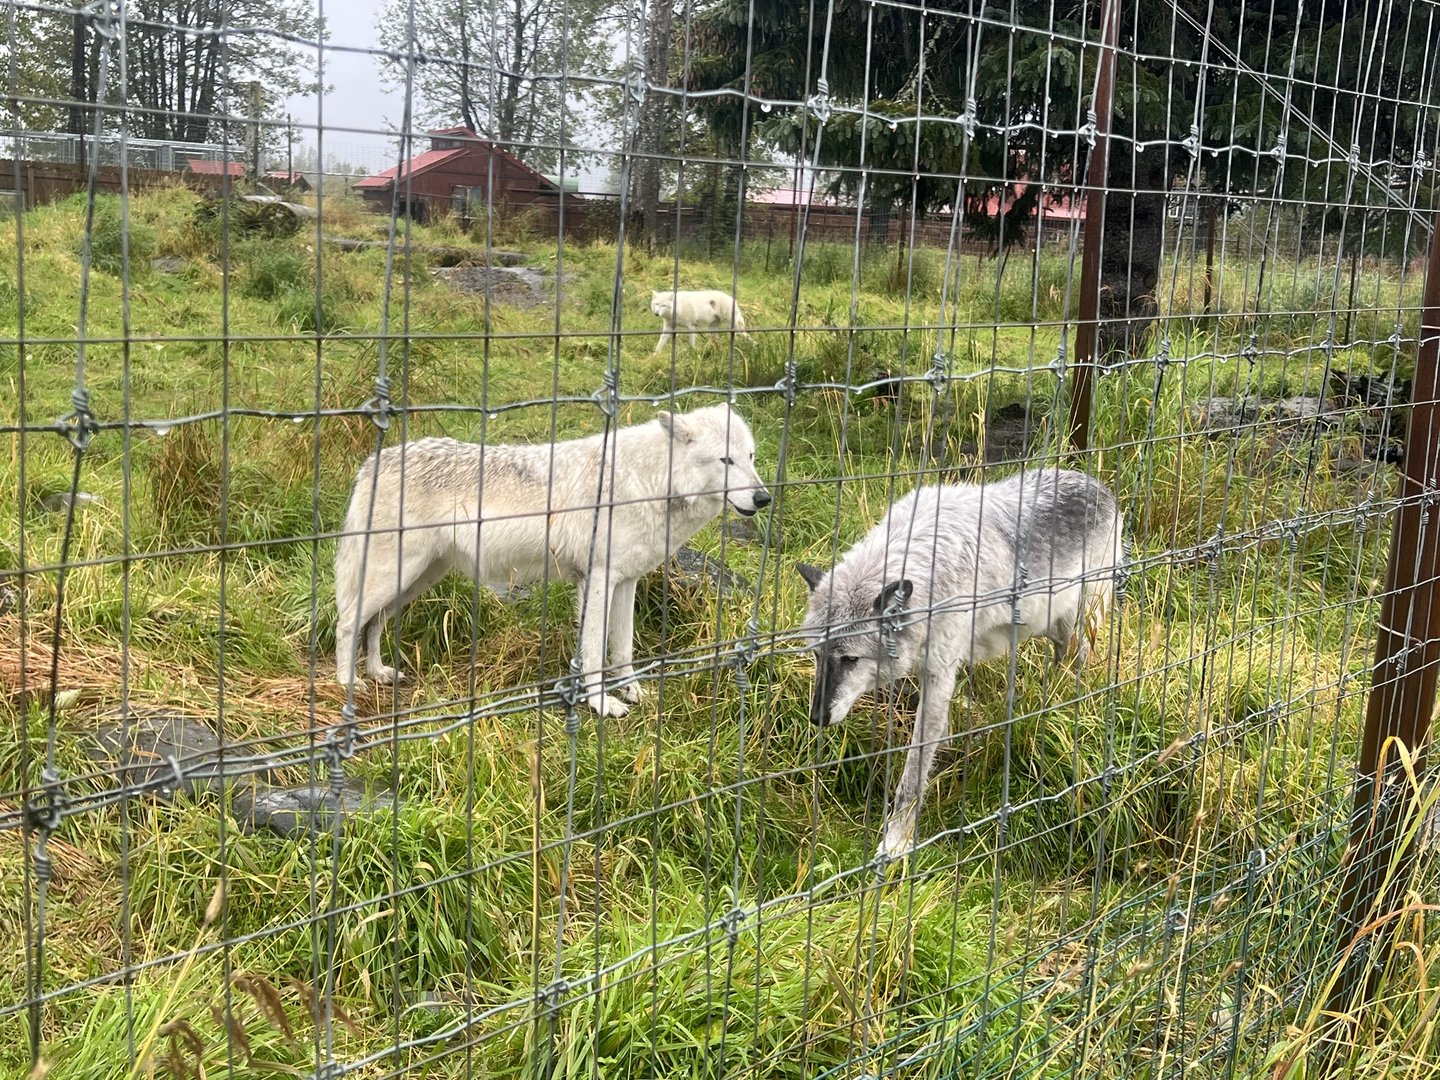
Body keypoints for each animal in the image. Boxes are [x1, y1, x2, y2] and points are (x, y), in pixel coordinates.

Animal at [334, 403, 770, 716]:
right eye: (725, 461)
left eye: (751, 456)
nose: (764, 497)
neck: (649, 483)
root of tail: (372, 463)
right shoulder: (597, 580)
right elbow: (593, 653)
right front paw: (602, 704)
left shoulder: (626, 581)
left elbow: (623, 650)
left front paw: (632, 691)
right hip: (395, 575)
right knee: (347, 622)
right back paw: (347, 683)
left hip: (417, 578)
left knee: (373, 623)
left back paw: (378, 672)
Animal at [795, 468, 1124, 860]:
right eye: (818, 655)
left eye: (850, 659)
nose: (817, 718)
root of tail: (1095, 483)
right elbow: (938, 737)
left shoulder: (940, 671)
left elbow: (912, 772)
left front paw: (896, 844)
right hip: (1056, 631)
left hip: (1078, 626)